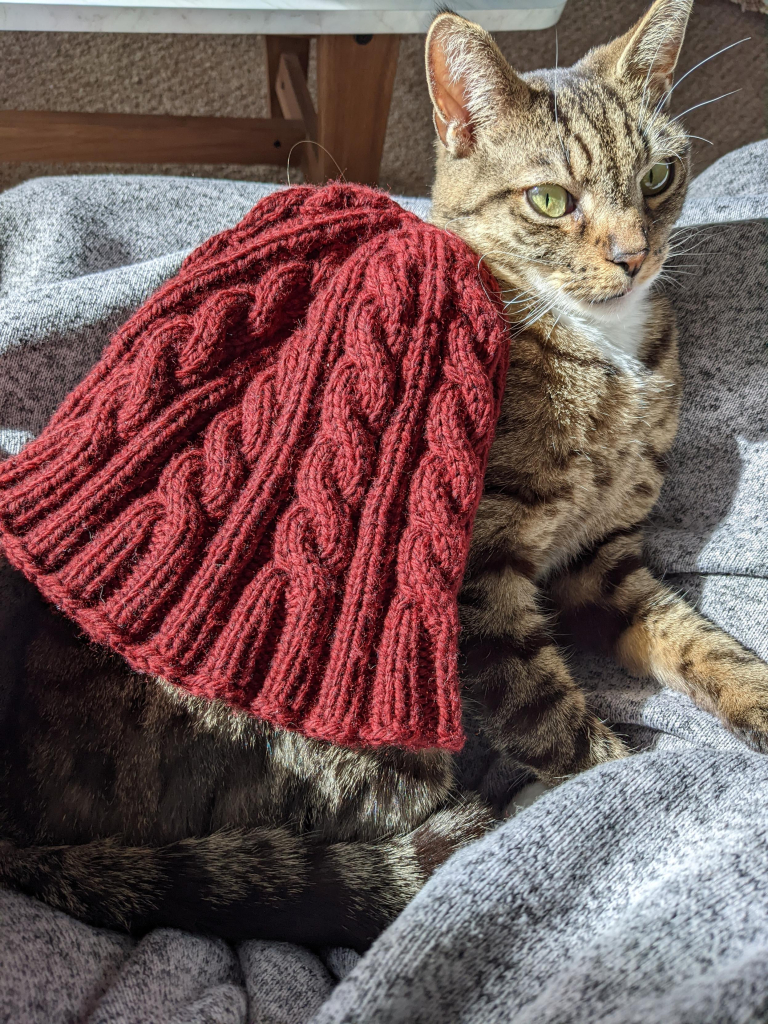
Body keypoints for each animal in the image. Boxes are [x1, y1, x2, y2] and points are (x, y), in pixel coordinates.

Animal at [1, 0, 768, 950]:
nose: (635, 254)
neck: (606, 355)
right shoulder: (476, 581)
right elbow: (555, 722)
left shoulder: (607, 559)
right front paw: (604, 784)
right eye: (551, 199)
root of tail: (28, 819)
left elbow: (698, 641)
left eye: (660, 175)